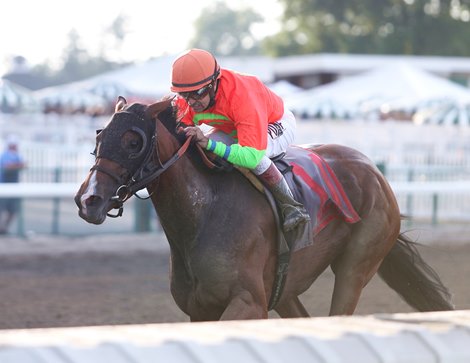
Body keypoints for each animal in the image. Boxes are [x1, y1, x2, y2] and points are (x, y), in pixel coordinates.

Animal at [75, 96, 454, 322]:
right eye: (99, 137)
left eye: (133, 141)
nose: (89, 200)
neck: (204, 215)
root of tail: (374, 170)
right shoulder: (200, 311)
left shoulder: (248, 303)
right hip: (285, 290)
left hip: (356, 265)